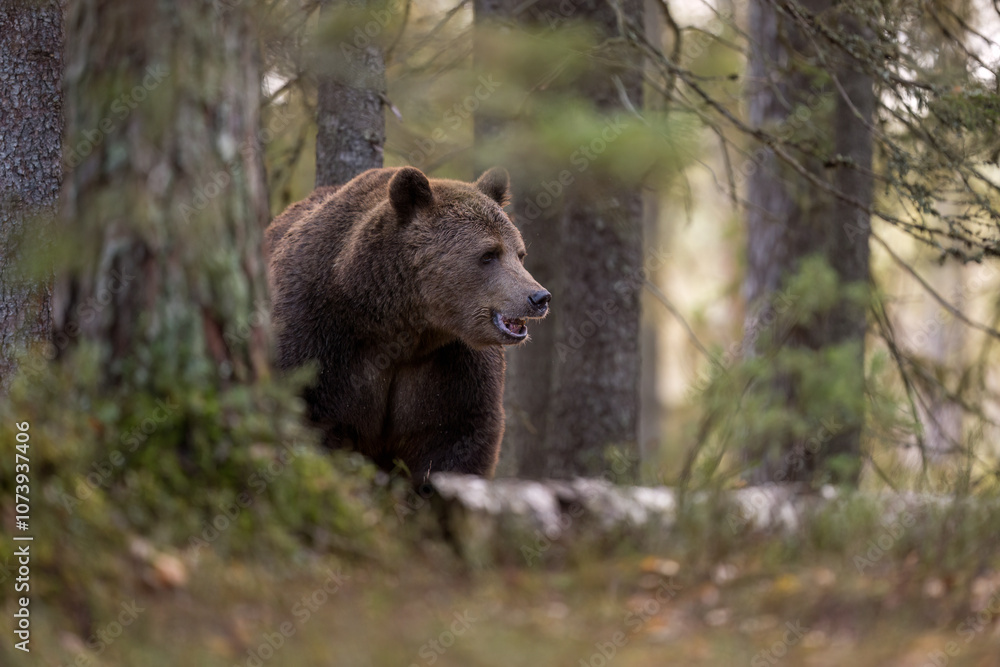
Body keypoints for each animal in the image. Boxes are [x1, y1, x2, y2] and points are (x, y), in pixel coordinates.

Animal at [265, 166, 550, 481]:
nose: (539, 297)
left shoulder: (450, 367)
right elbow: (312, 418)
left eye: (520, 254)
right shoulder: (317, 336)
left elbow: (456, 438)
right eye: (488, 254)